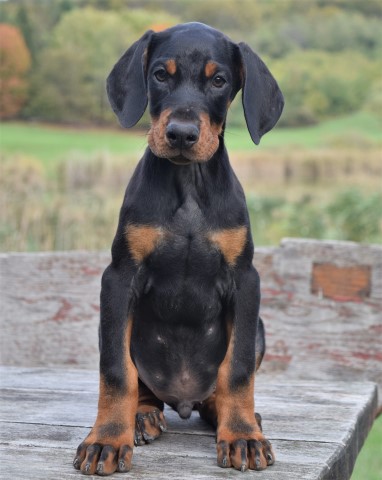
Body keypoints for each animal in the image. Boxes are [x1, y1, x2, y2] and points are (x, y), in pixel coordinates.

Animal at [74, 21, 284, 472]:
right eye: (159, 75)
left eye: (219, 80)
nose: (182, 134)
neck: (188, 183)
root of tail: (182, 400)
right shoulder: (118, 278)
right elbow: (115, 370)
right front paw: (107, 439)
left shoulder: (246, 280)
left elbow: (238, 368)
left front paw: (242, 435)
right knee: (141, 384)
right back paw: (142, 416)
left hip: (258, 327)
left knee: (217, 387)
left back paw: (229, 414)